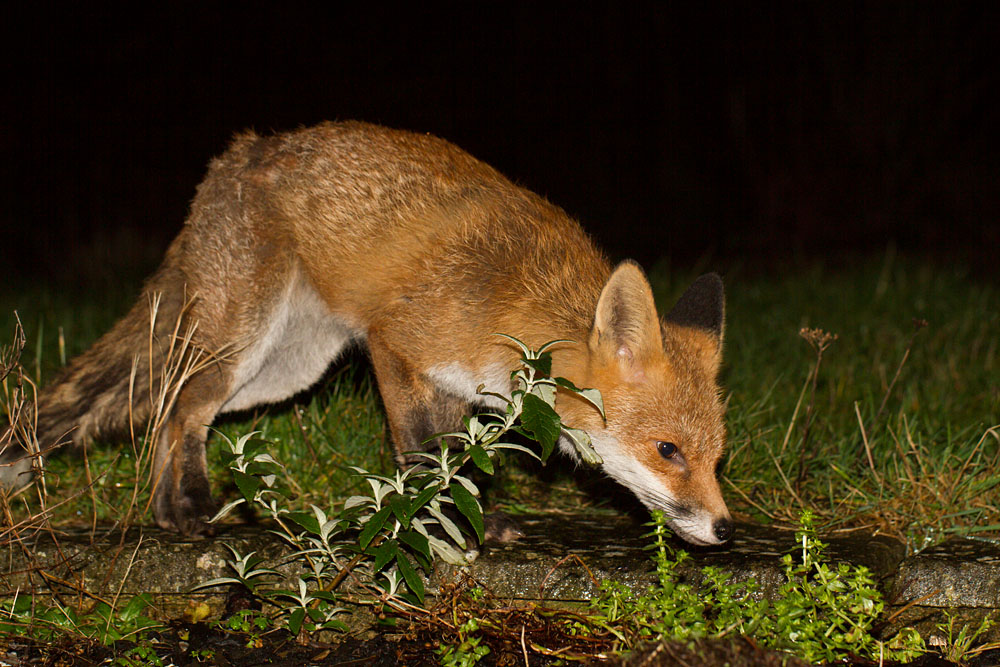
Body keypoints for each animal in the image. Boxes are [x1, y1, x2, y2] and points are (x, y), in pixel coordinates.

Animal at [0, 121, 733, 545]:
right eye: (668, 450)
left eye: (717, 458)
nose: (726, 529)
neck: (510, 301)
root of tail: (235, 156)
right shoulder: (397, 346)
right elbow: (420, 455)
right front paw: (443, 526)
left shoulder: (460, 388)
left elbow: (454, 461)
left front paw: (476, 518)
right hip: (243, 340)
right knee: (182, 406)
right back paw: (184, 508)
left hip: (283, 370)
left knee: (165, 404)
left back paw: (161, 507)